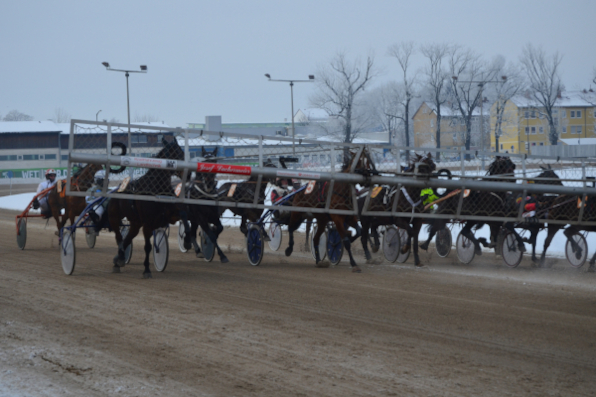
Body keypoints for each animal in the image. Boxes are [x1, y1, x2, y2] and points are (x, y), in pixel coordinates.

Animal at [108, 136, 189, 278]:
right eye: (174, 154)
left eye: (181, 152)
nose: (187, 173)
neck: (156, 189)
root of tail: (116, 190)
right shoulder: (148, 223)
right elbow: (148, 247)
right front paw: (146, 269)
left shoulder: (168, 216)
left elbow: (183, 214)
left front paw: (188, 241)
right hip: (114, 217)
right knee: (119, 238)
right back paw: (119, 259)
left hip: (135, 223)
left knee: (128, 238)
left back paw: (119, 259)